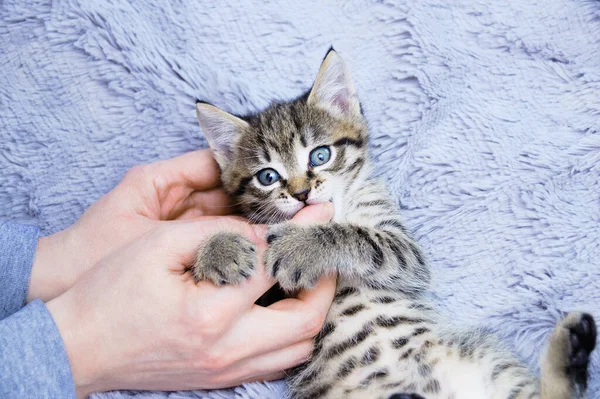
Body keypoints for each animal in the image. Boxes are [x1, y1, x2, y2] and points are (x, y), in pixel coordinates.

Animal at [193, 50, 596, 399]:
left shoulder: (406, 253)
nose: (302, 193)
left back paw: (570, 345)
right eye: (267, 176)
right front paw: (218, 250)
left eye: (320, 155)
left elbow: (361, 238)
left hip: (487, 362)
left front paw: (302, 246)